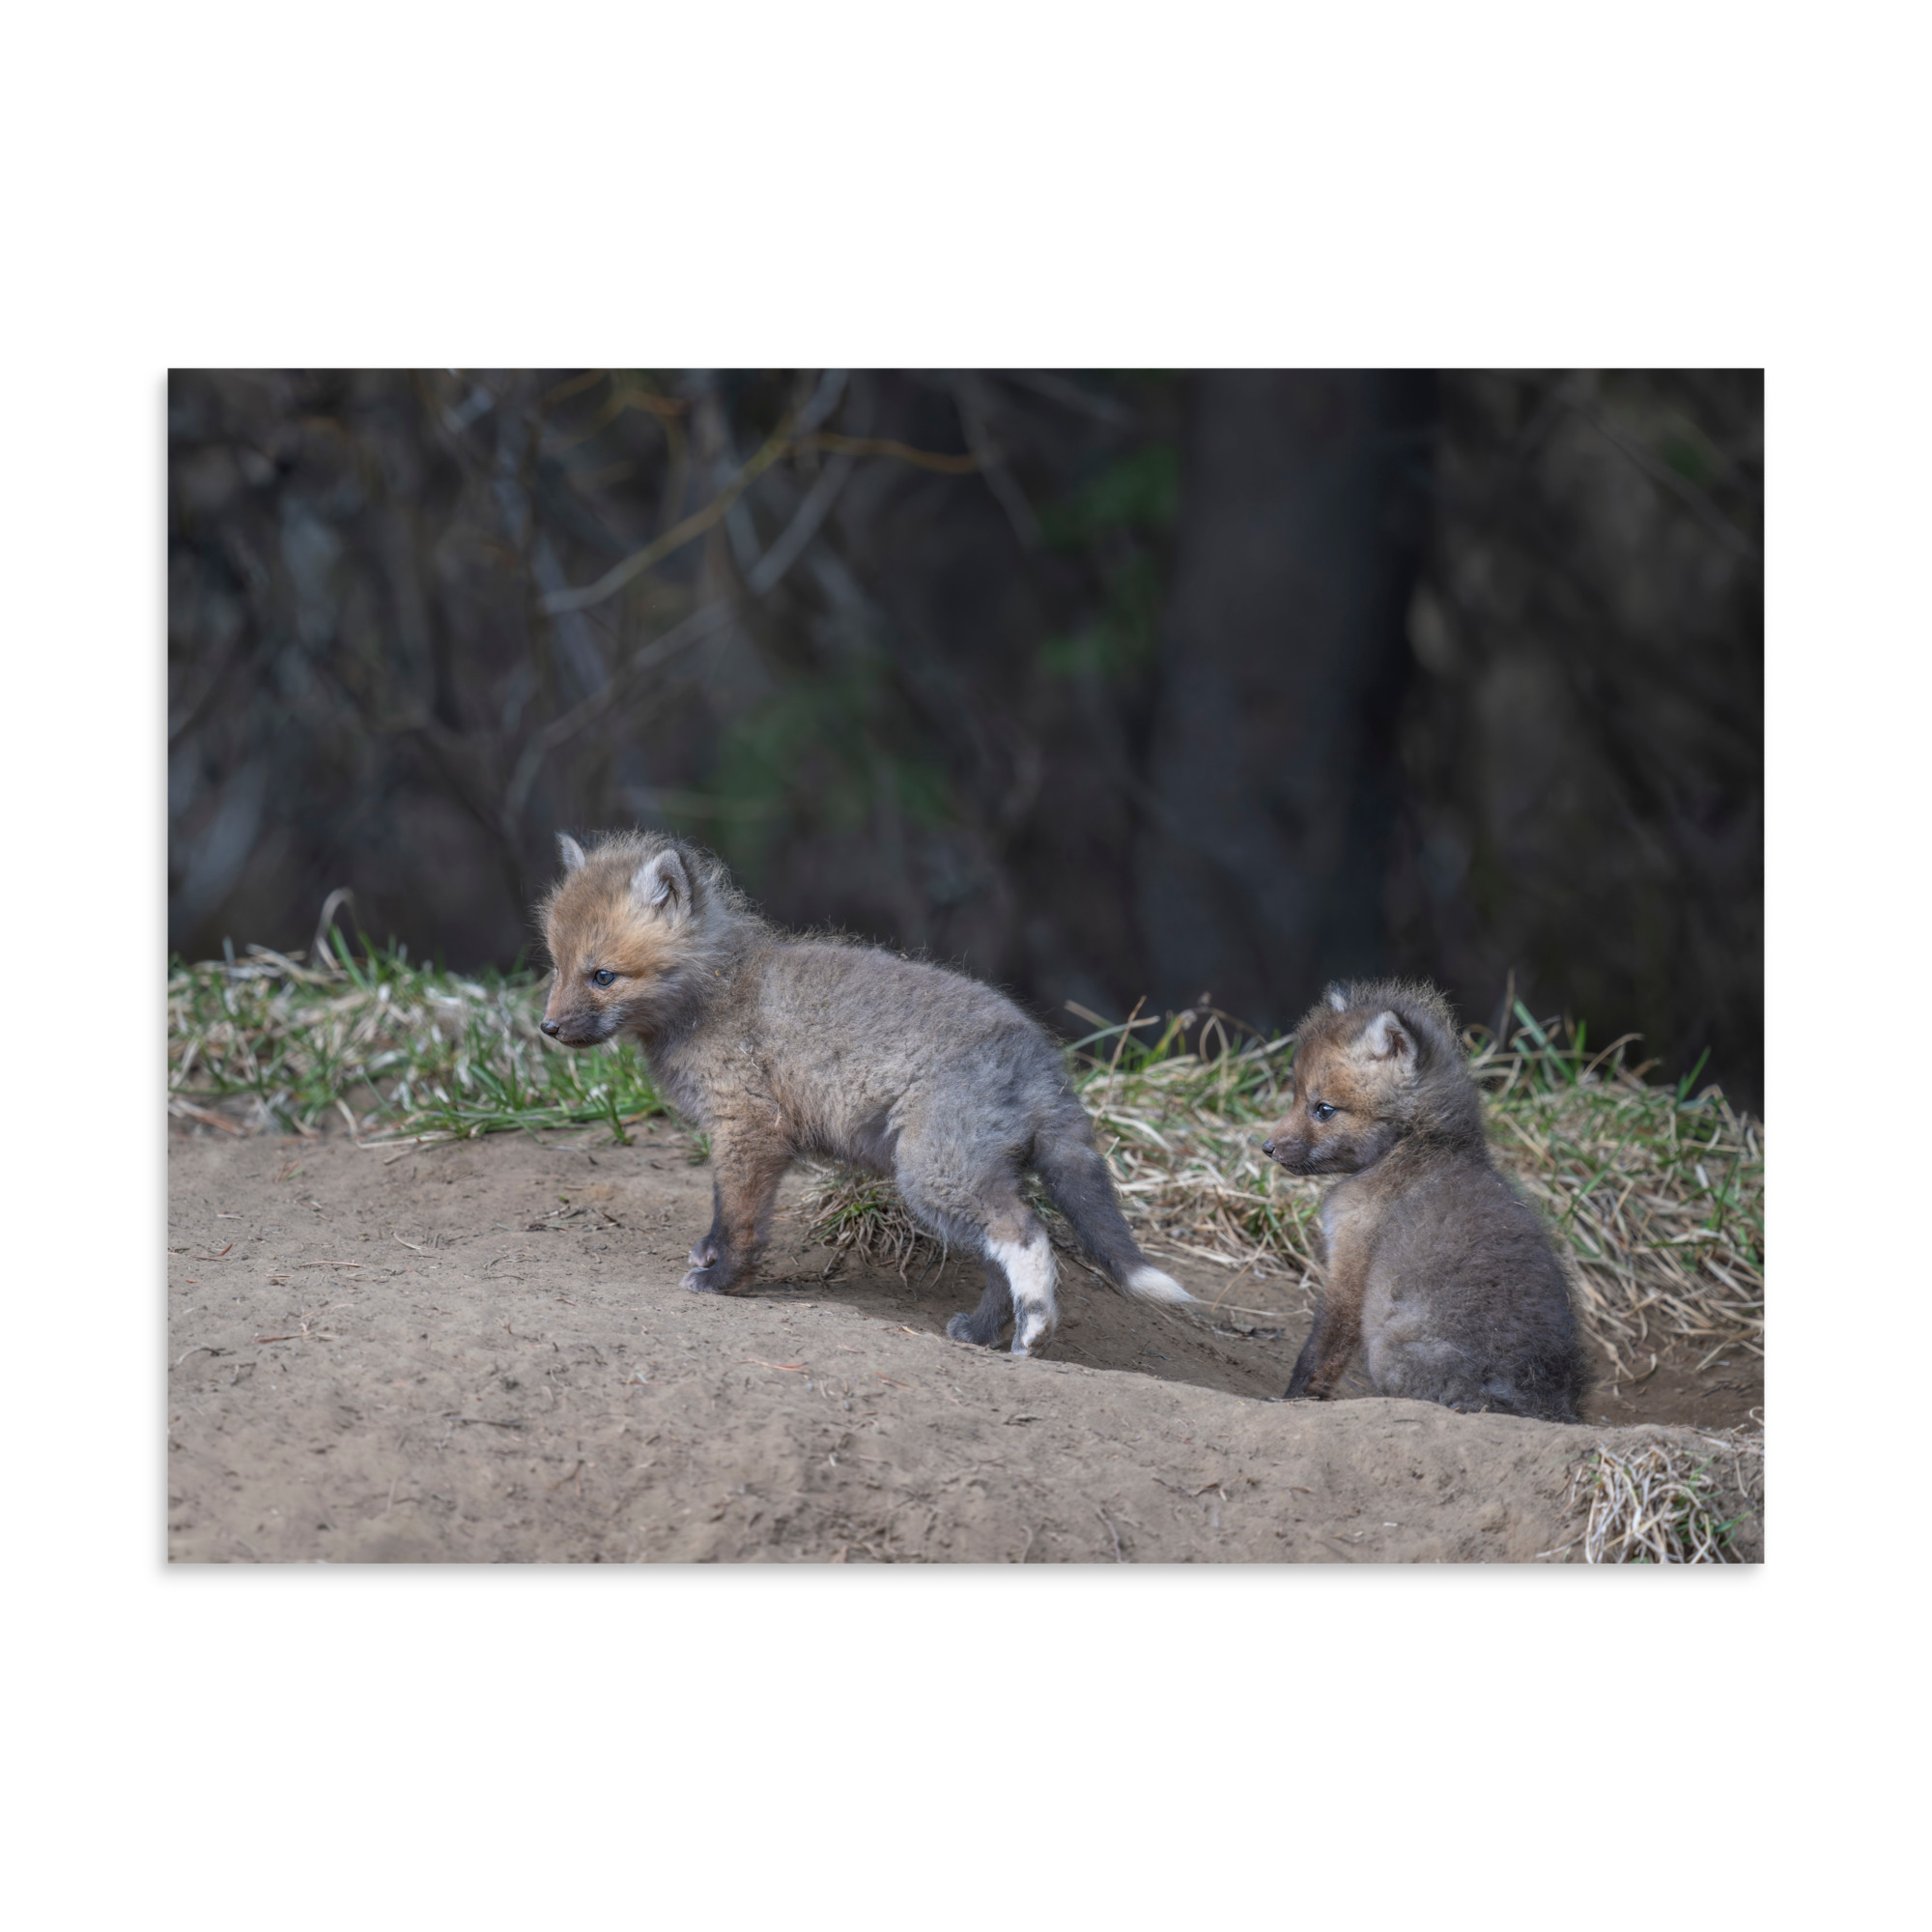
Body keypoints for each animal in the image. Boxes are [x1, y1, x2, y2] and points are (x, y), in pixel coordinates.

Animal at [536, 829, 1196, 1354]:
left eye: (603, 976)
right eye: (557, 967)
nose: (548, 1028)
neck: (714, 993)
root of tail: (1042, 1058)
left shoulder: (749, 1128)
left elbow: (740, 1218)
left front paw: (723, 1280)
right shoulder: (744, 1136)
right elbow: (725, 1210)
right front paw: (711, 1256)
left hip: (933, 1175)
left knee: (1026, 1234)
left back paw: (1035, 1331)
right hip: (962, 1181)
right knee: (998, 1260)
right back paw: (982, 1333)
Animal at [1262, 979, 1587, 1423]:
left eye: (1324, 1109)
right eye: (1296, 1096)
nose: (1267, 1148)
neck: (1415, 1147)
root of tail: (1543, 1405)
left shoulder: (1350, 1265)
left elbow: (1319, 1353)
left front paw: (1291, 1401)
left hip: (1388, 1351)